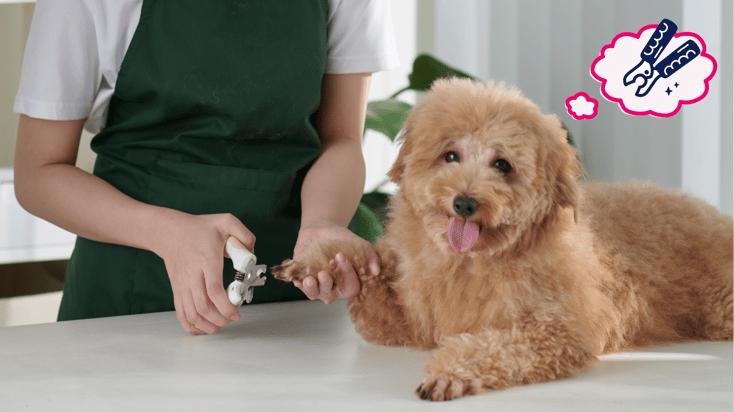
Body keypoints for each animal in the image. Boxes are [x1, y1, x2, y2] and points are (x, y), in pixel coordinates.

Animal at [272, 78, 734, 402]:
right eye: (451, 155)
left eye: (502, 165)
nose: (464, 203)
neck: (470, 259)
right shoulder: (407, 320)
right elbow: (368, 268)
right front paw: (320, 262)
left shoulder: (558, 331)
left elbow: (495, 348)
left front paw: (450, 374)